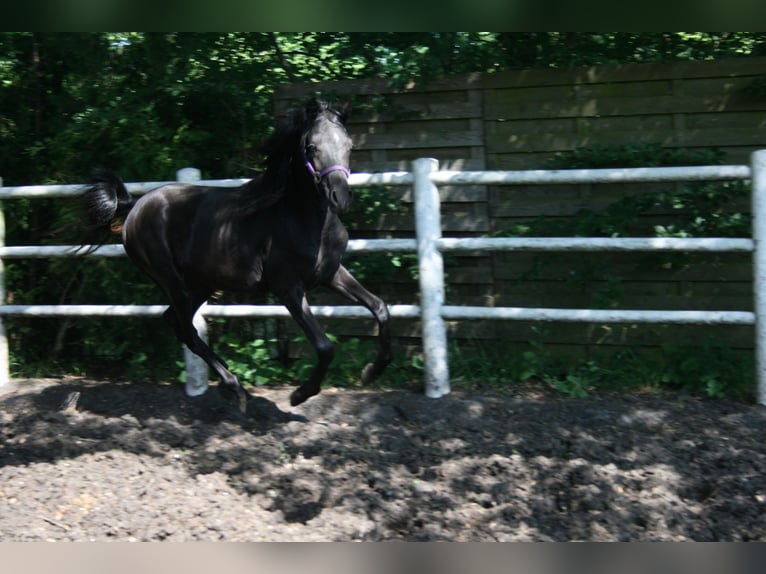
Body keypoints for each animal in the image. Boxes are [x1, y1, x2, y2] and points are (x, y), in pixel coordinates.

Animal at [82, 100, 392, 414]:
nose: (340, 197)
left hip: (201, 283)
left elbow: (380, 308)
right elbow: (325, 347)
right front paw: (299, 395)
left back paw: (230, 383)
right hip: (171, 281)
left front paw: (371, 372)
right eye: (312, 146)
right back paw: (235, 388)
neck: (305, 219)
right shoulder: (287, 287)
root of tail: (135, 205)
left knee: (176, 323)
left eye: (349, 145)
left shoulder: (330, 274)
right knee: (187, 331)